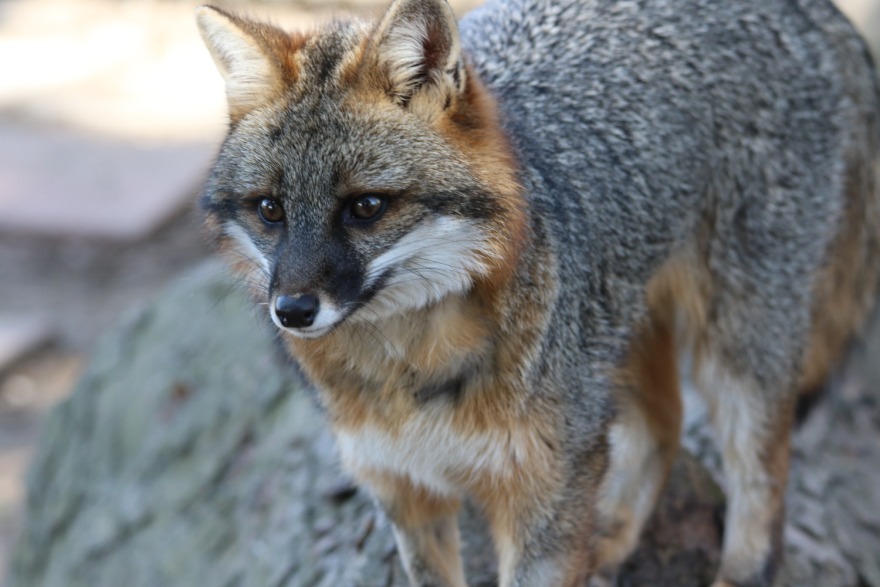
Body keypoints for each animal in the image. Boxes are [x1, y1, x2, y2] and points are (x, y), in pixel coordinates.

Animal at [194, 0, 880, 584]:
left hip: (734, 349)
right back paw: (611, 538)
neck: (410, 375)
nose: (293, 311)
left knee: (762, 473)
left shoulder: (543, 484)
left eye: (365, 207)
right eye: (270, 210)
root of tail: (816, 12)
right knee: (664, 426)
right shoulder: (404, 489)